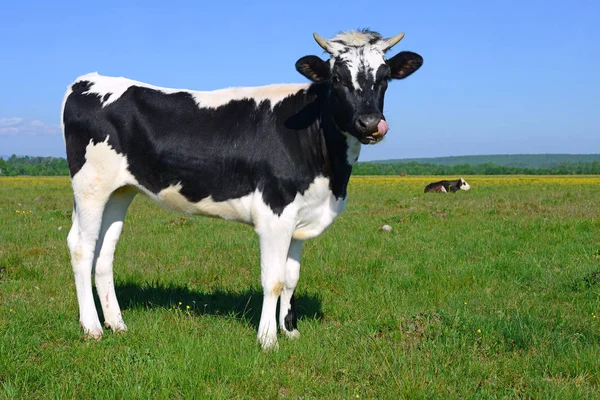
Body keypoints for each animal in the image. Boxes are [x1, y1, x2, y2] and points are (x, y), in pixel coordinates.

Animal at [62, 28, 422, 350]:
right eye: (337, 78)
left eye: (385, 77)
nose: (370, 123)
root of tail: (88, 80)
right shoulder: (275, 212)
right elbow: (273, 279)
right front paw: (268, 340)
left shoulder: (300, 215)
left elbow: (291, 277)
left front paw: (290, 331)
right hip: (90, 186)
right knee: (81, 248)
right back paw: (92, 327)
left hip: (120, 191)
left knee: (104, 253)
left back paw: (117, 324)